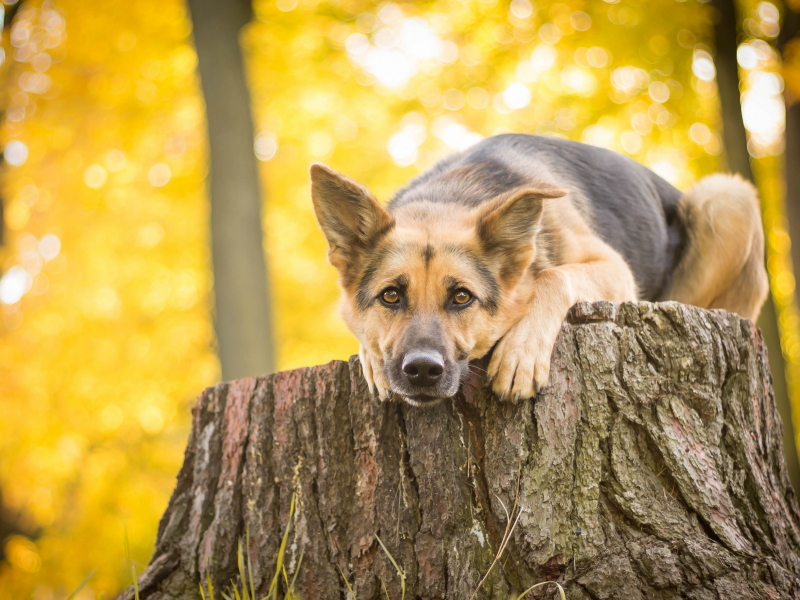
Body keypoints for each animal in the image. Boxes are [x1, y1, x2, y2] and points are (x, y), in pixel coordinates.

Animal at [308, 135, 768, 408]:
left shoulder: (614, 268)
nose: (422, 370)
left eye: (461, 297)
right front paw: (370, 357)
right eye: (390, 295)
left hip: (727, 197)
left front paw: (521, 352)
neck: (449, 196)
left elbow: (552, 275)